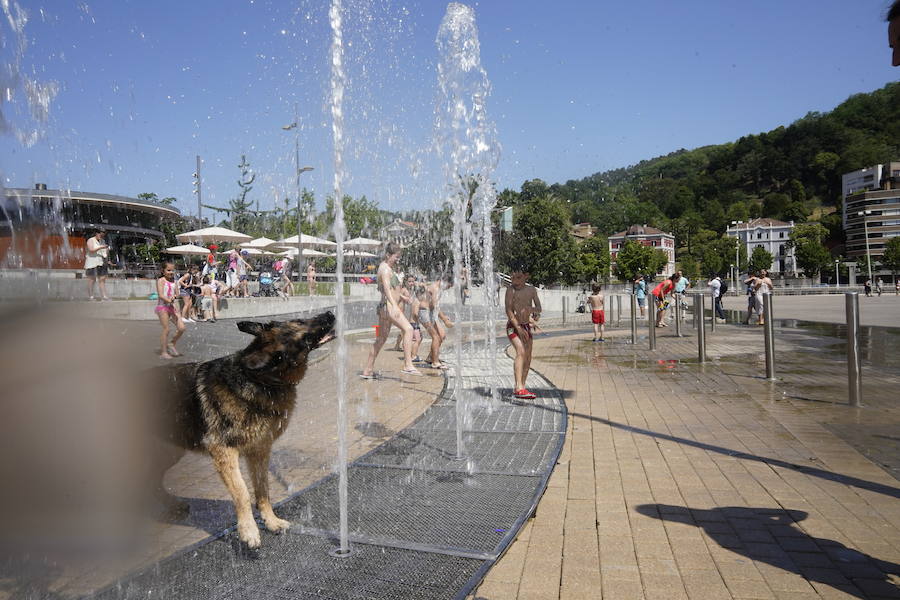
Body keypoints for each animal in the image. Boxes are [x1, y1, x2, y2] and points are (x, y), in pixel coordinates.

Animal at [153, 312, 336, 552]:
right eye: (298, 322)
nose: (330, 314)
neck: (261, 378)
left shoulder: (259, 450)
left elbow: (263, 489)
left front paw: (271, 521)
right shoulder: (223, 452)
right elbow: (242, 492)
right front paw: (248, 531)